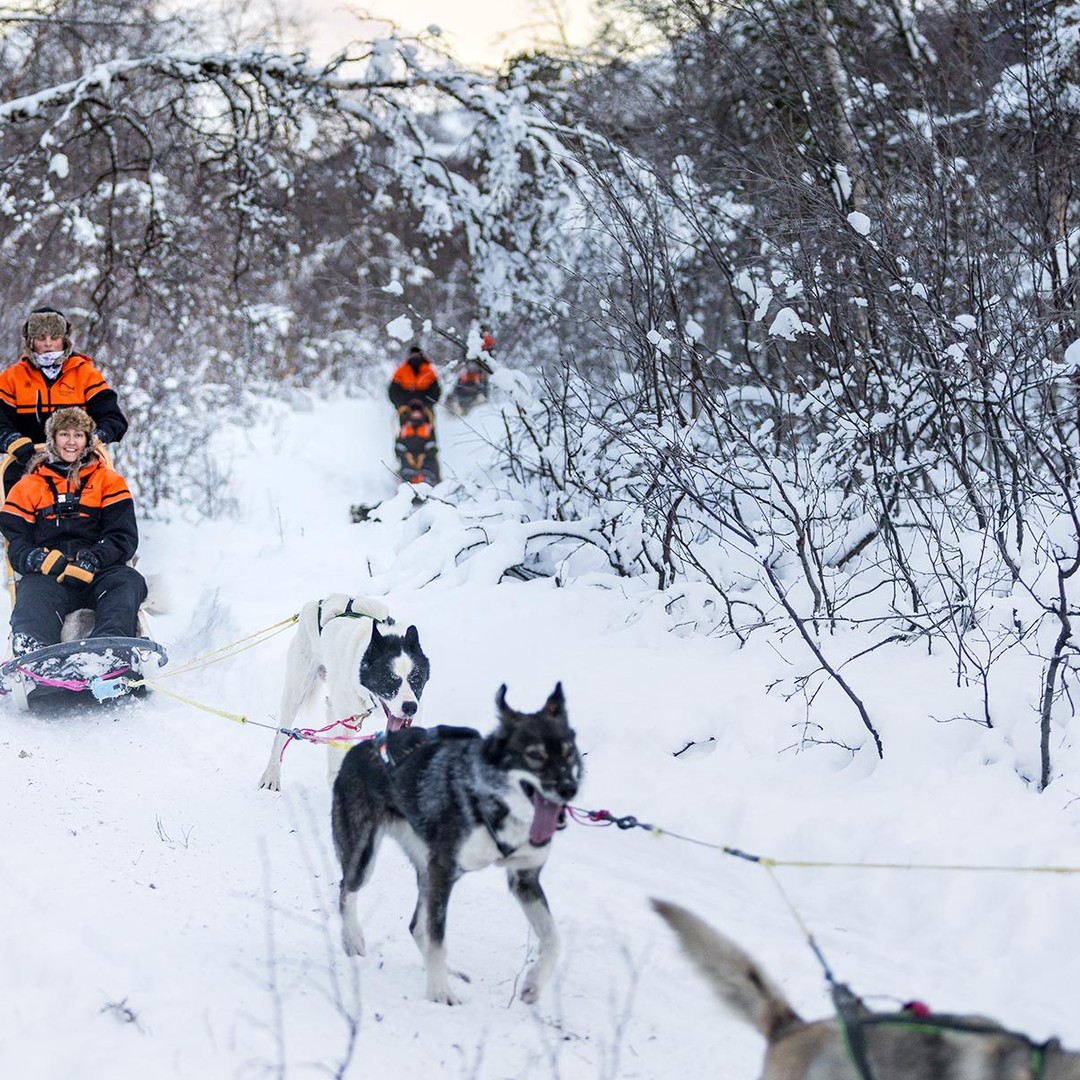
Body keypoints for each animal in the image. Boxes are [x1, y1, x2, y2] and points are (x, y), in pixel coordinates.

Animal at [258, 594, 430, 791]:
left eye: (416, 679)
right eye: (389, 679)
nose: (410, 707)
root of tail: (318, 603)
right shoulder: (341, 719)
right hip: (295, 692)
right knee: (280, 734)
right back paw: (271, 775)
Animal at [331, 682, 581, 1005]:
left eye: (569, 753)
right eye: (534, 755)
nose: (569, 788)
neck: (493, 802)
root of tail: (362, 747)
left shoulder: (524, 879)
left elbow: (553, 940)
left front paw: (534, 984)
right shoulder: (444, 869)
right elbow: (438, 938)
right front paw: (440, 992)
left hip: (427, 867)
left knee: (417, 926)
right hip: (366, 856)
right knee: (347, 890)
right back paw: (352, 938)